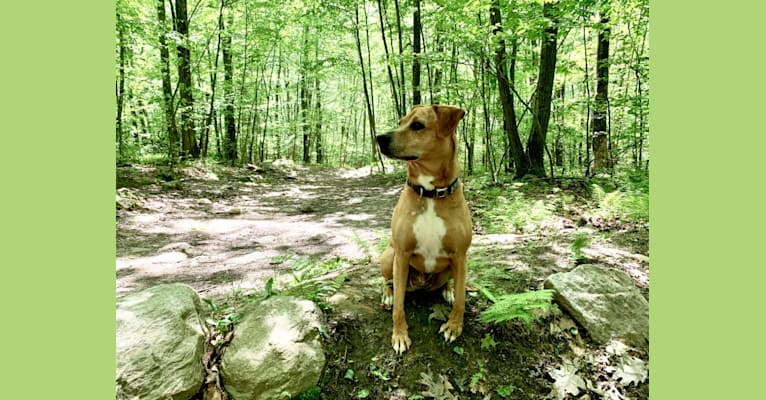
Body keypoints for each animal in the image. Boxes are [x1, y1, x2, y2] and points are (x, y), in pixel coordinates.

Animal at [376, 104, 472, 354]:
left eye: (417, 125)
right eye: (400, 122)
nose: (379, 138)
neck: (430, 193)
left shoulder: (460, 255)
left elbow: (461, 299)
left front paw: (454, 326)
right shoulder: (402, 254)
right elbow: (399, 307)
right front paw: (400, 336)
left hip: (450, 266)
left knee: (449, 284)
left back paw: (447, 290)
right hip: (389, 256)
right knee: (388, 282)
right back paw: (388, 295)